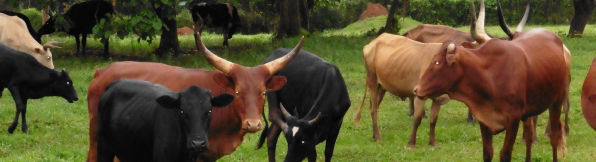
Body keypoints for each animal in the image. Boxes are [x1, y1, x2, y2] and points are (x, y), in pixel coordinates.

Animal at [412, 5, 564, 161]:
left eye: (437, 63)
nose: (416, 89)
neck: (490, 77)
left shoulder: (513, 120)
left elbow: (505, 154)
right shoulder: (484, 120)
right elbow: (487, 152)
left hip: (557, 101)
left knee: (554, 137)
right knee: (529, 137)